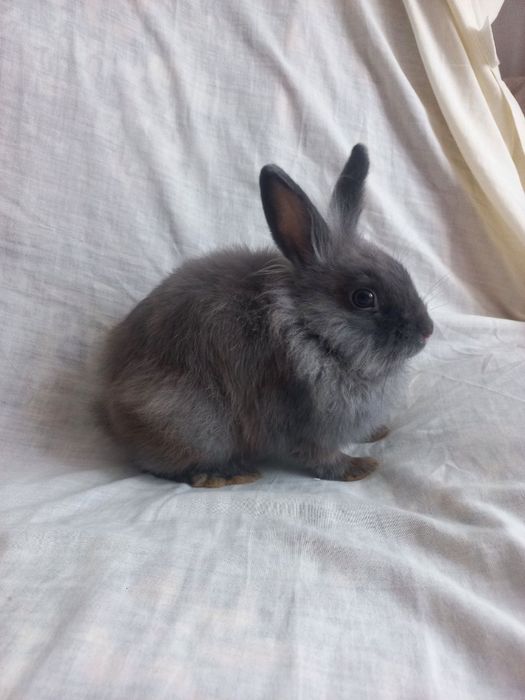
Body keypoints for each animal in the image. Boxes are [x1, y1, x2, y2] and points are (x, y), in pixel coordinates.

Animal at [101, 144, 433, 487]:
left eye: (401, 270)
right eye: (363, 298)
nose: (427, 330)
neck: (311, 331)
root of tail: (111, 402)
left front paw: (377, 431)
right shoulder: (306, 422)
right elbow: (322, 458)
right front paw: (359, 467)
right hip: (189, 421)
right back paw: (227, 474)